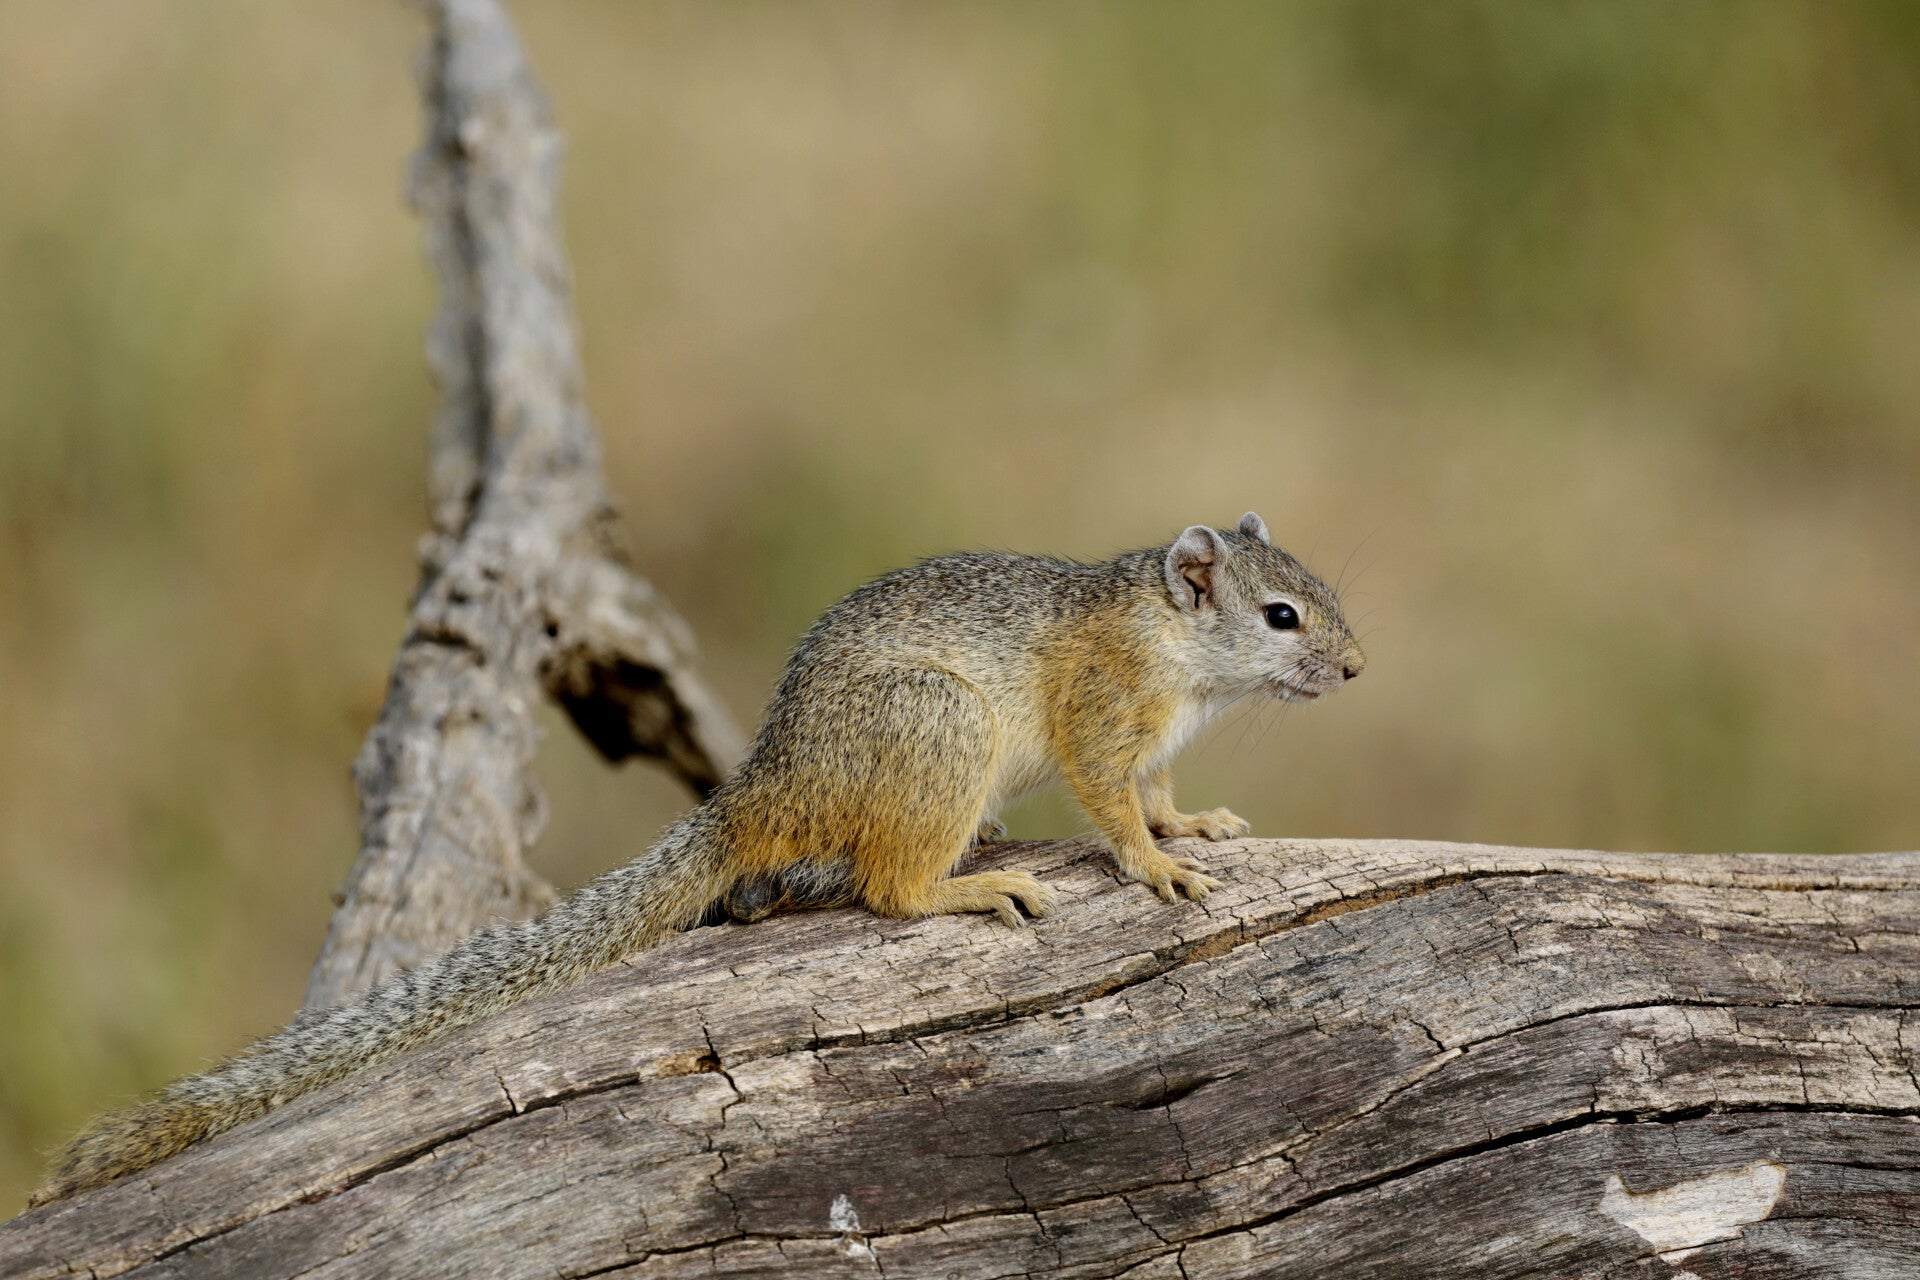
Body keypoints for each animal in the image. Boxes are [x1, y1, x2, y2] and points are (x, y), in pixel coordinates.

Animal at [30, 512, 1364, 1206]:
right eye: (1281, 614)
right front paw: (1155, 867)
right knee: (888, 888)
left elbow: (1163, 795)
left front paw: (1199, 828)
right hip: (940, 736)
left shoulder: (1157, 747)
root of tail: (760, 792)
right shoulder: (1101, 725)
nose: (1355, 666)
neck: (1174, 646)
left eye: (1316, 587)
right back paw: (975, 881)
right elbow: (1115, 811)